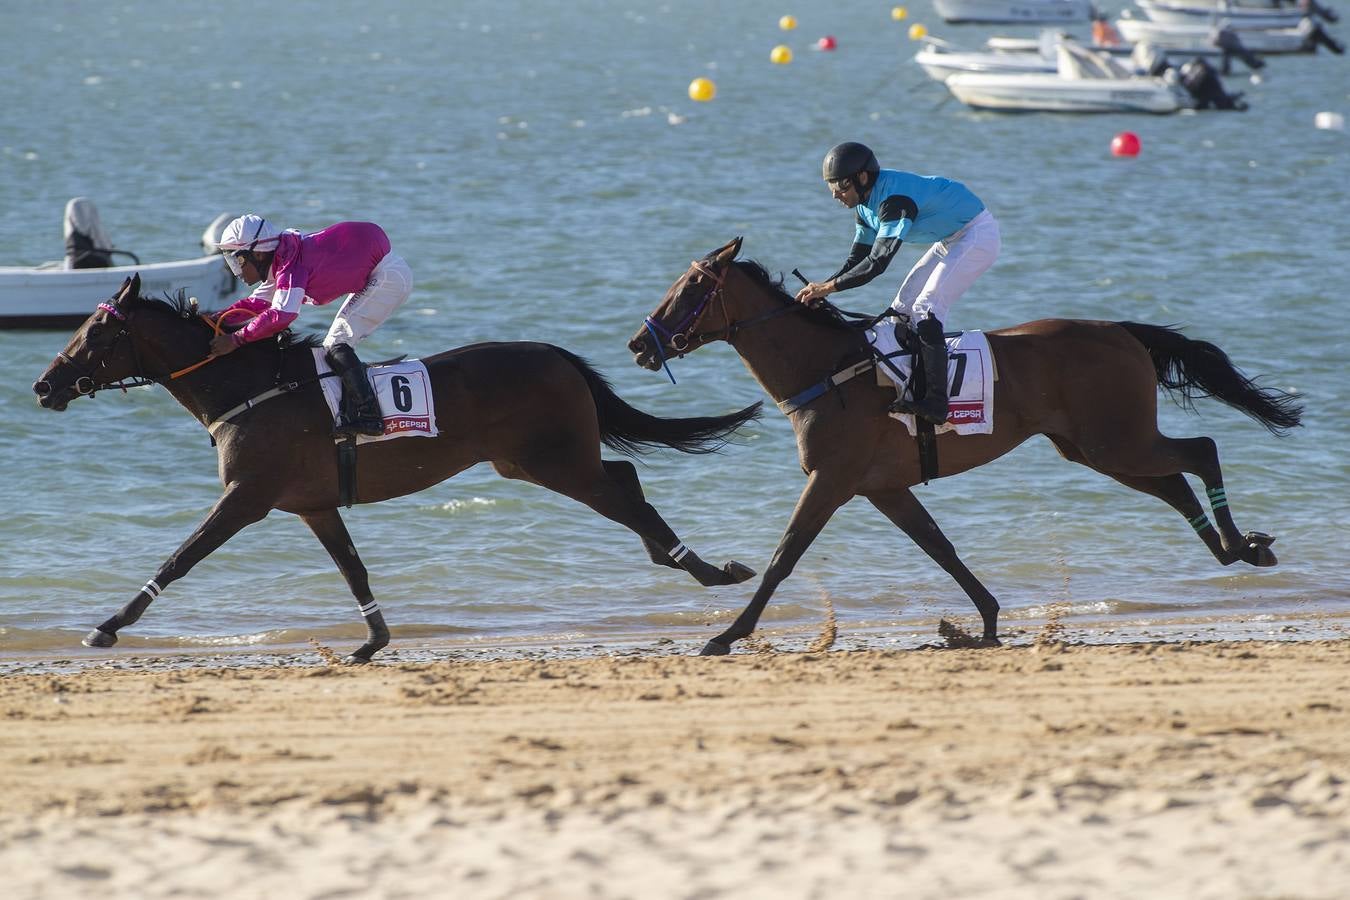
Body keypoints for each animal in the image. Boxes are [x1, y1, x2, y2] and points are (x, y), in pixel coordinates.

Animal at [34, 272, 761, 661]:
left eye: (94, 335)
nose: (43, 386)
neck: (248, 388)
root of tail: (557, 353)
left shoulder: (246, 497)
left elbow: (180, 557)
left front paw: (107, 626)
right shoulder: (314, 505)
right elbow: (352, 568)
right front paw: (374, 638)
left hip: (555, 462)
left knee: (627, 495)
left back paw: (708, 570)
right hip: (527, 463)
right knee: (626, 481)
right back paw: (680, 561)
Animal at [626, 237, 1301, 655]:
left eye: (690, 287)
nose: (638, 343)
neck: (827, 368)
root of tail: (1123, 331)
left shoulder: (833, 481)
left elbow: (783, 556)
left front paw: (727, 634)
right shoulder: (884, 487)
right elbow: (941, 548)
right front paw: (987, 619)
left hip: (1117, 441)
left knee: (1201, 450)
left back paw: (1243, 544)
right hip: (1092, 448)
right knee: (1175, 481)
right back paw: (1230, 549)